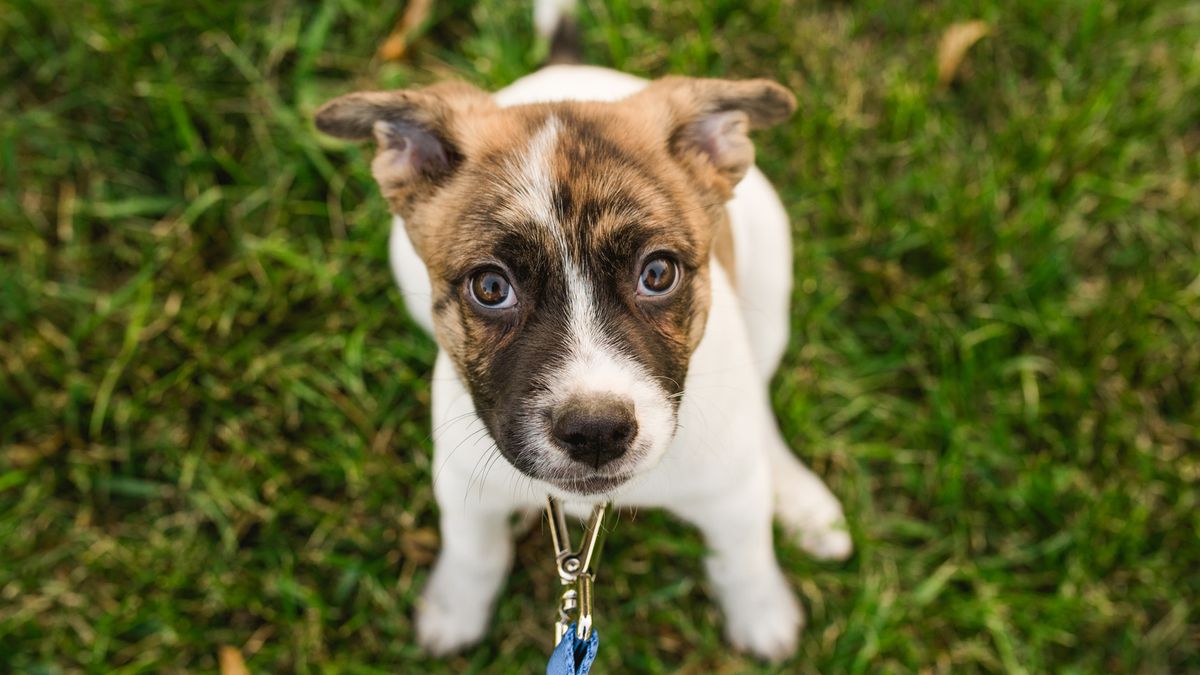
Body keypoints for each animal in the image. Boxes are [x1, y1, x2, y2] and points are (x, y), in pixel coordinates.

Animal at [314, 2, 849, 658]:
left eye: (657, 273)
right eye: (490, 288)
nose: (596, 433)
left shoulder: (731, 495)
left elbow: (744, 556)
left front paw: (762, 613)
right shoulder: (463, 483)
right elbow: (473, 551)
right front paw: (454, 609)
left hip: (772, 269)